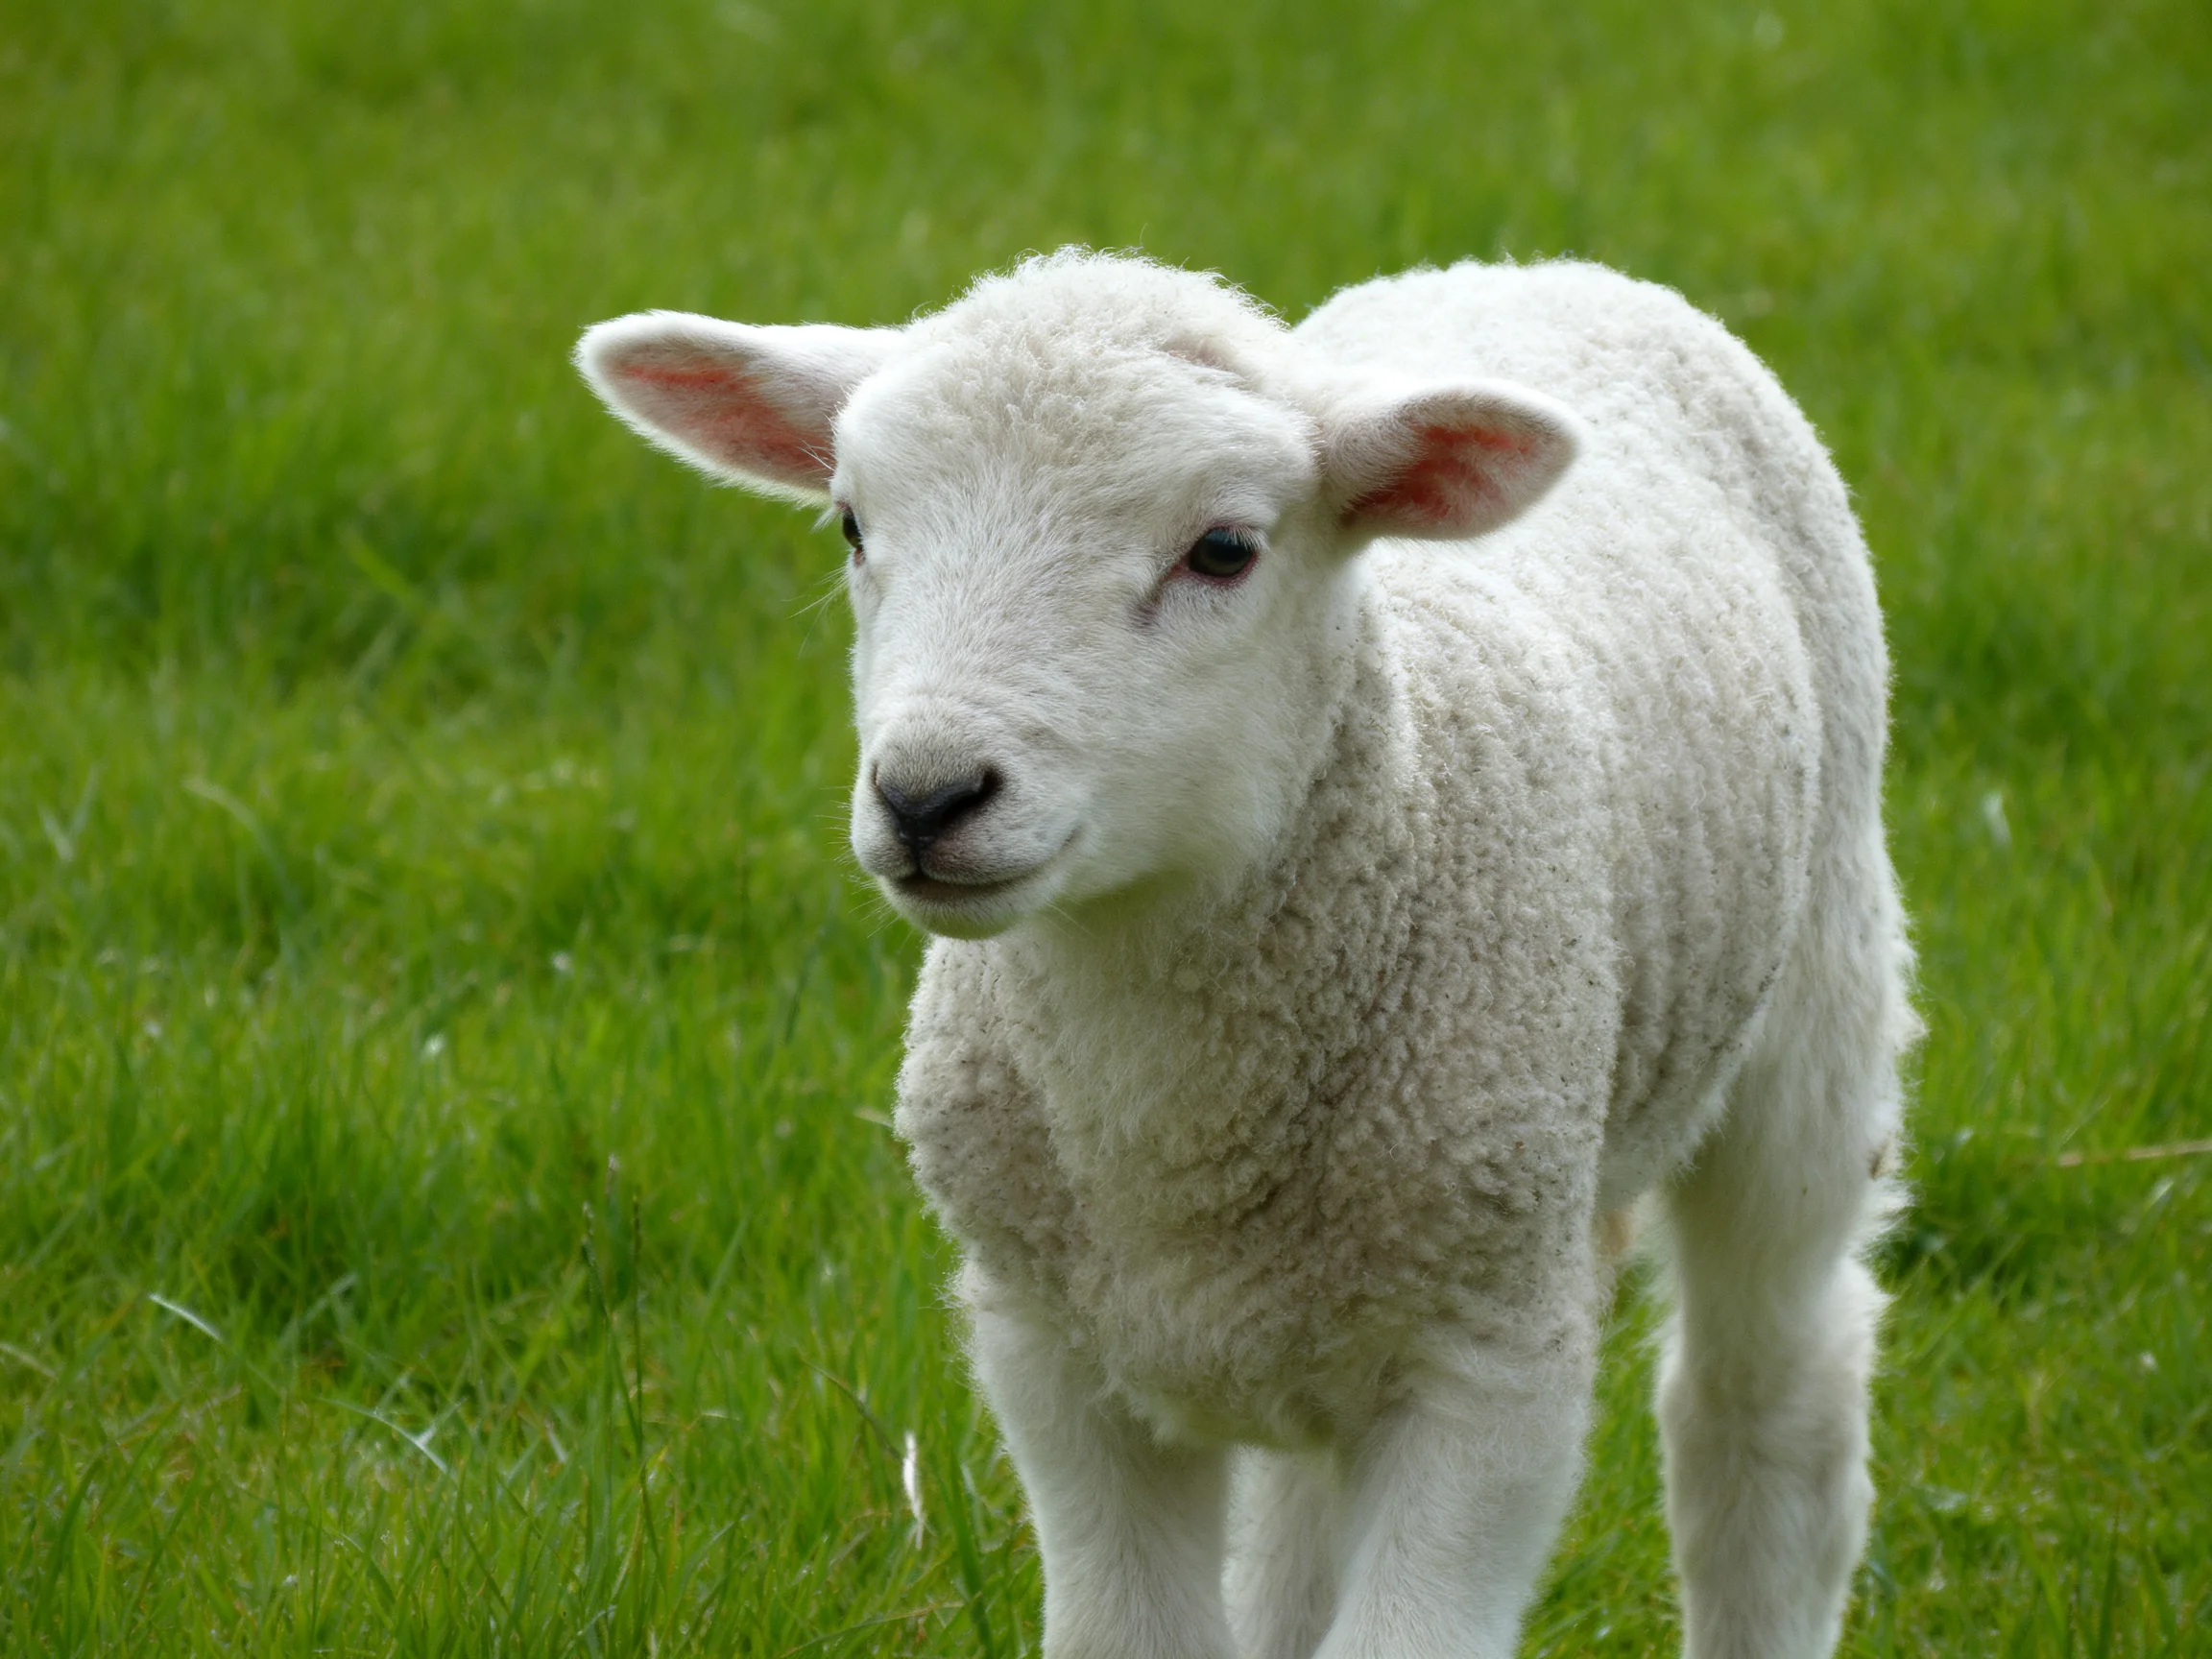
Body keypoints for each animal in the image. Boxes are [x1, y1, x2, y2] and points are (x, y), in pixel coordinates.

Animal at [575, 249, 1916, 1659]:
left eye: (1223, 549)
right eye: (849, 527)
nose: (927, 796)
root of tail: (1537, 264)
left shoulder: (1491, 1364)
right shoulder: (1051, 1347)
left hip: (1816, 1002)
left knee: (1765, 1405)